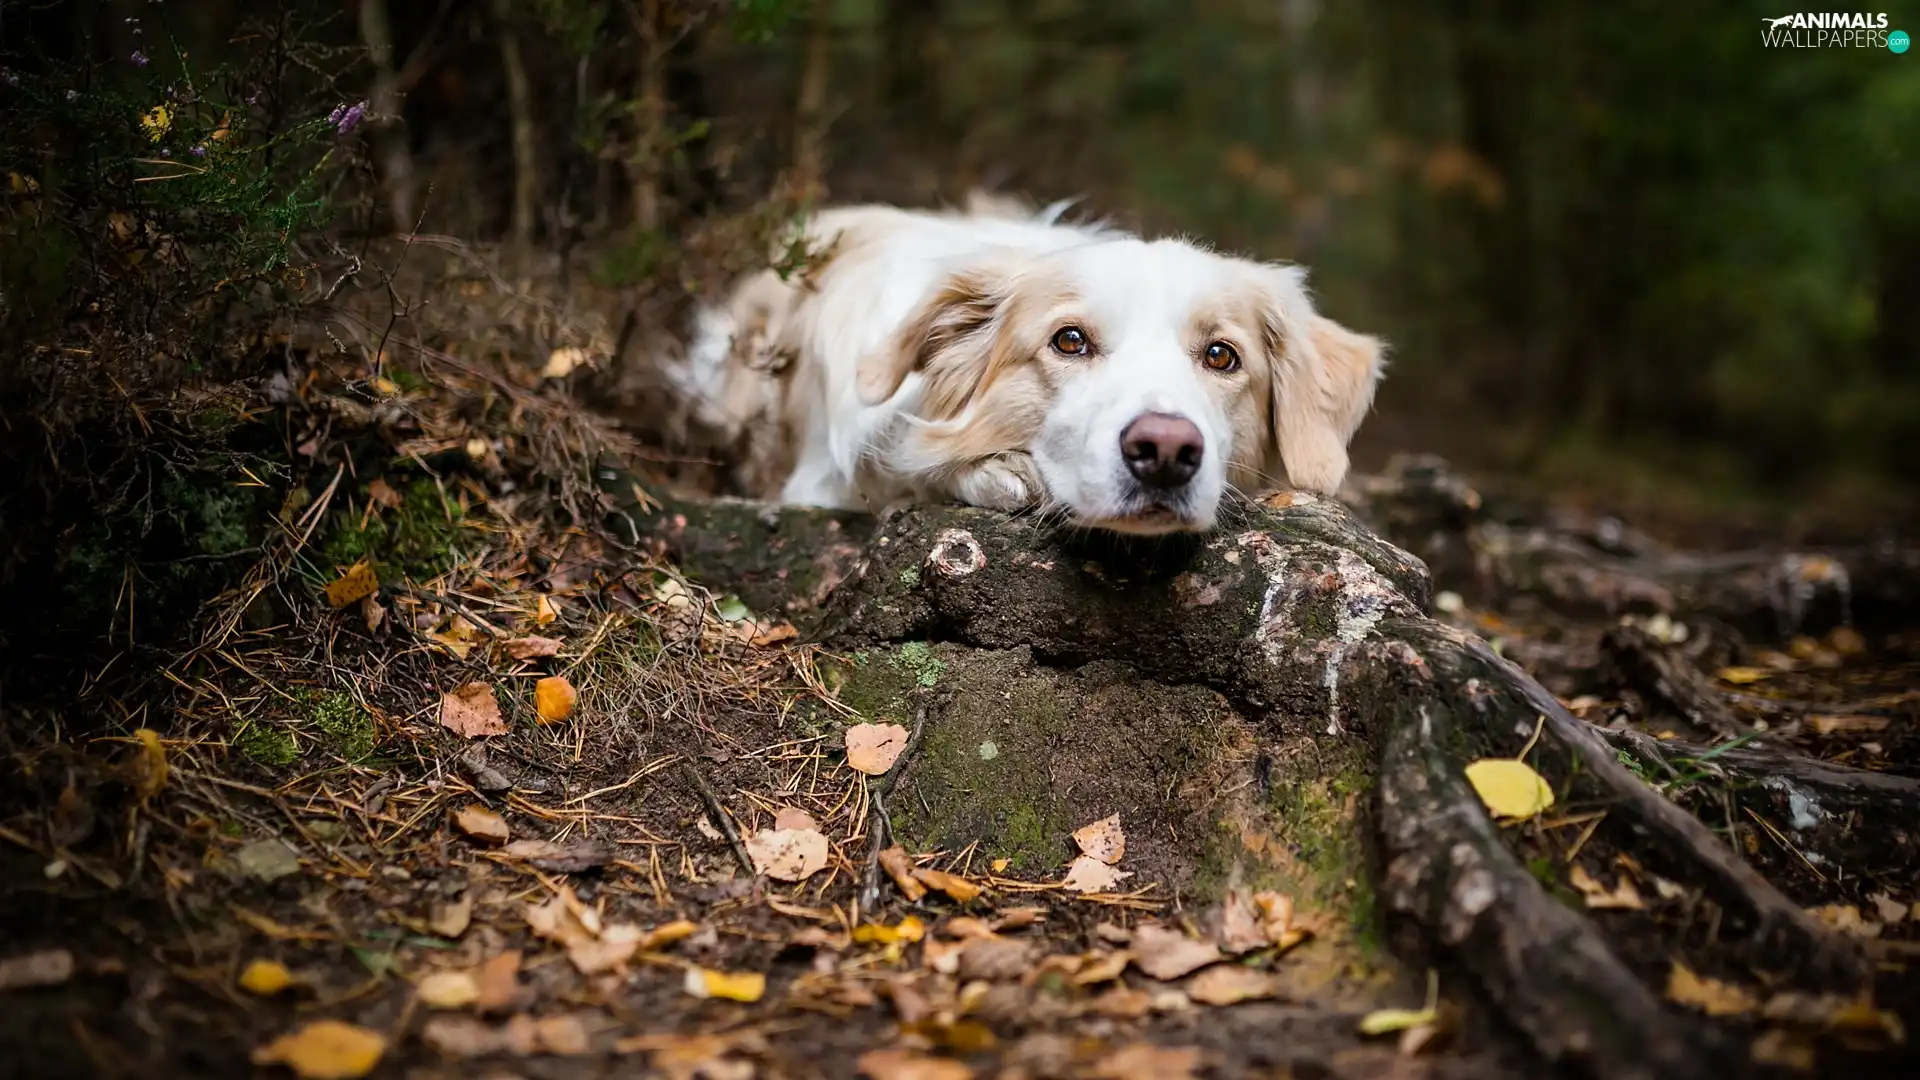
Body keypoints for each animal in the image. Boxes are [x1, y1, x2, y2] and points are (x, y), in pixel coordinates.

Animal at [668, 193, 1390, 534]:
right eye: (1069, 342)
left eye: (1221, 355)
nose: (1164, 452)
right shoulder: (820, 474)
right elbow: (900, 458)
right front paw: (988, 471)